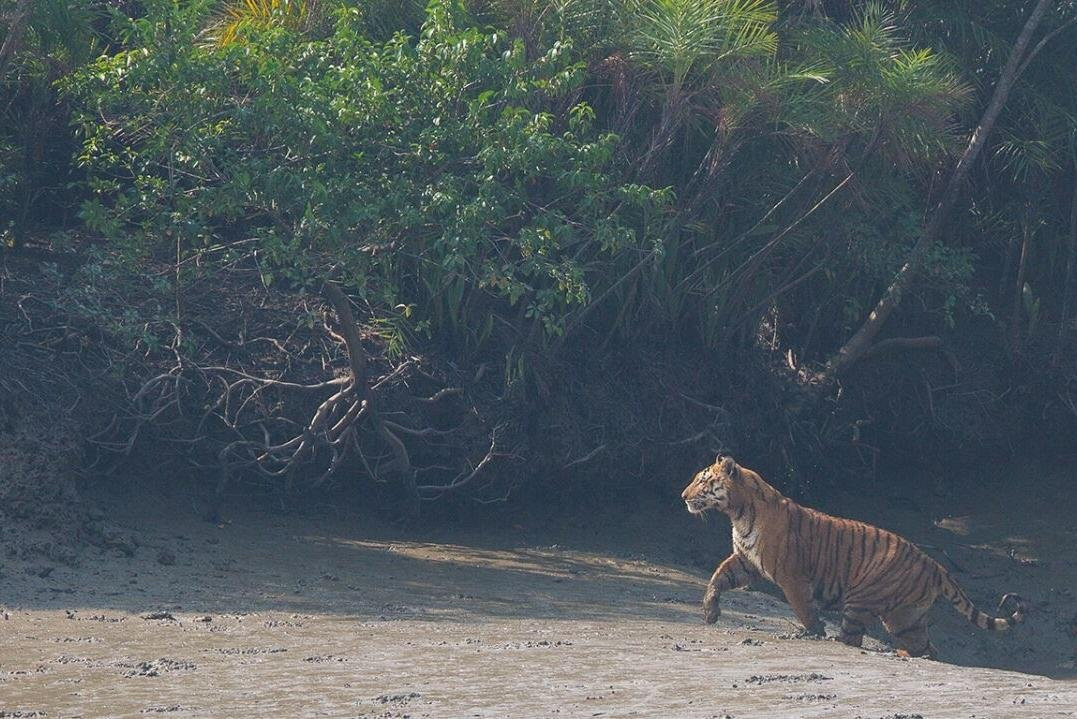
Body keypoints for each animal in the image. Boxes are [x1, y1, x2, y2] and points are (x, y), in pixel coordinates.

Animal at [680, 454, 1025, 658]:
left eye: (702, 480)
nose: (683, 496)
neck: (737, 514)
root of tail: (935, 564)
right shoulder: (746, 561)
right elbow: (717, 577)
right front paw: (710, 613)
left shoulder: (792, 576)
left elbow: (804, 609)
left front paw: (813, 633)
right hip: (906, 618)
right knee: (925, 647)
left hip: (861, 602)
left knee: (852, 637)